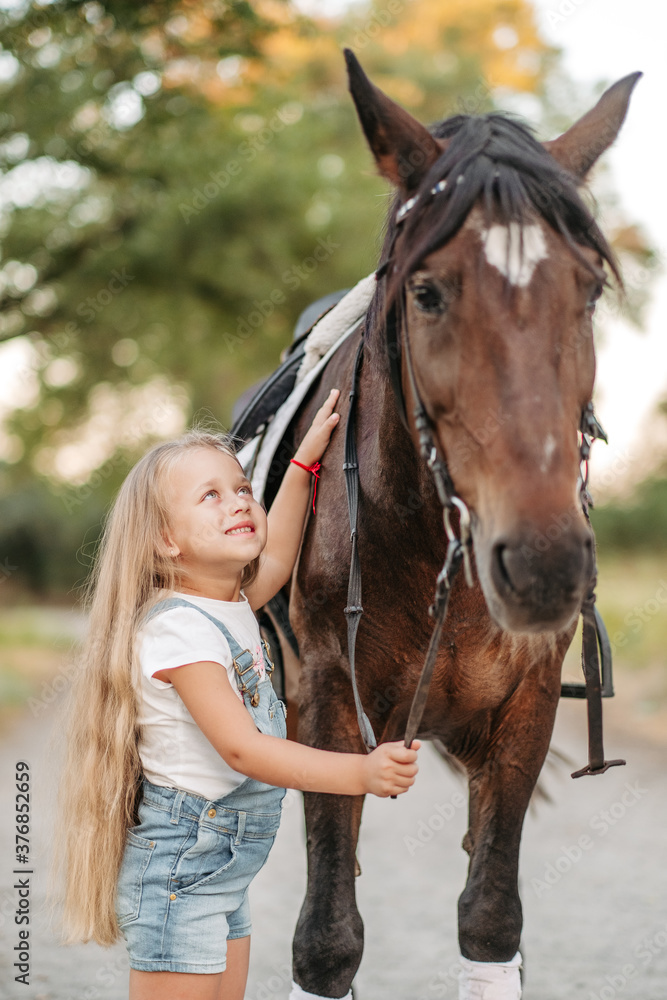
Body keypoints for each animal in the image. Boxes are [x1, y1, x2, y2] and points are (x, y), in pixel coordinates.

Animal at [282, 51, 639, 999]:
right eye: (427, 292)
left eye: (588, 291)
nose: (545, 562)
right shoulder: (326, 707)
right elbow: (326, 938)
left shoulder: (524, 710)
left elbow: (490, 920)